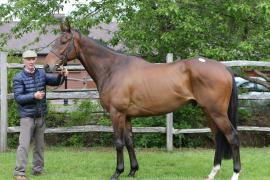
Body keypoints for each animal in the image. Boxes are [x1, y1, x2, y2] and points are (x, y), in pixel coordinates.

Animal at [43, 22, 240, 180]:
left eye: (63, 41)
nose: (47, 65)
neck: (113, 69)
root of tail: (224, 68)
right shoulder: (127, 116)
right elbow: (130, 141)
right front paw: (132, 171)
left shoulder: (117, 114)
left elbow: (118, 142)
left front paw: (117, 172)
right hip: (209, 112)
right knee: (219, 137)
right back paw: (212, 173)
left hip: (217, 112)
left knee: (232, 136)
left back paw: (235, 174)